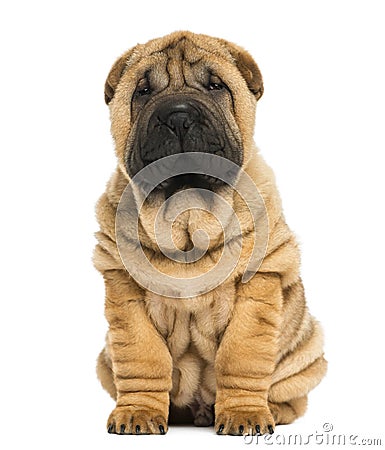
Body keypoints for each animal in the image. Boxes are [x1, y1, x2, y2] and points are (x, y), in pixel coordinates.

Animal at [94, 30, 328, 436]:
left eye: (216, 86)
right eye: (142, 90)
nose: (178, 116)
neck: (187, 214)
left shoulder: (258, 288)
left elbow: (242, 355)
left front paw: (246, 415)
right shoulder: (124, 290)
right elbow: (142, 357)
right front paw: (138, 413)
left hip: (308, 350)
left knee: (290, 394)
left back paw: (271, 409)